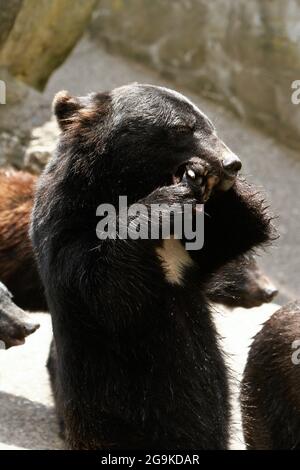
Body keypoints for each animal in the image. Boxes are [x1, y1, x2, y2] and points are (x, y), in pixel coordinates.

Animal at [31, 83, 274, 448]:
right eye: (182, 128)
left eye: (210, 125)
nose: (231, 163)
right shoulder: (65, 230)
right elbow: (106, 288)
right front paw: (169, 198)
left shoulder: (194, 252)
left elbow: (234, 232)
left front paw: (214, 183)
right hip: (113, 418)